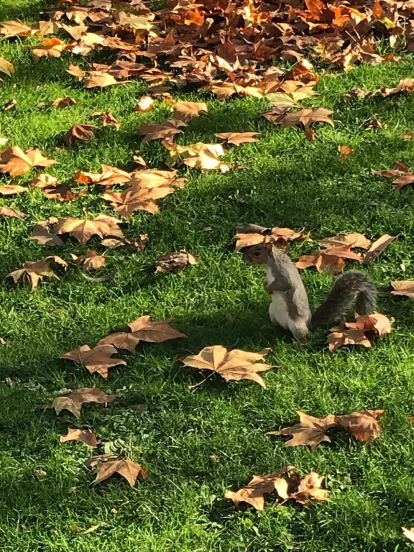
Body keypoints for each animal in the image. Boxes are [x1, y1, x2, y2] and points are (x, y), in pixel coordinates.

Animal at [239, 224, 378, 340]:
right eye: (253, 247)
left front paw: (269, 288)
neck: (269, 266)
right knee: (276, 325)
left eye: (257, 253)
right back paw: (268, 327)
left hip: (297, 326)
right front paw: (265, 285)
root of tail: (308, 324)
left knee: (303, 335)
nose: (244, 257)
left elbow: (283, 285)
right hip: (272, 310)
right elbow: (266, 280)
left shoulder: (283, 274)